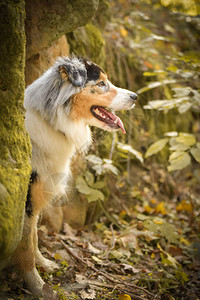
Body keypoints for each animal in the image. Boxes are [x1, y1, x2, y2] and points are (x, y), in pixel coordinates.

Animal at [10, 56, 137, 292]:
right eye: (101, 83)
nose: (135, 96)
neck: (52, 122)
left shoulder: (39, 193)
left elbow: (33, 237)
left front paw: (44, 265)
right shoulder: (27, 198)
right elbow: (26, 246)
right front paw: (37, 286)